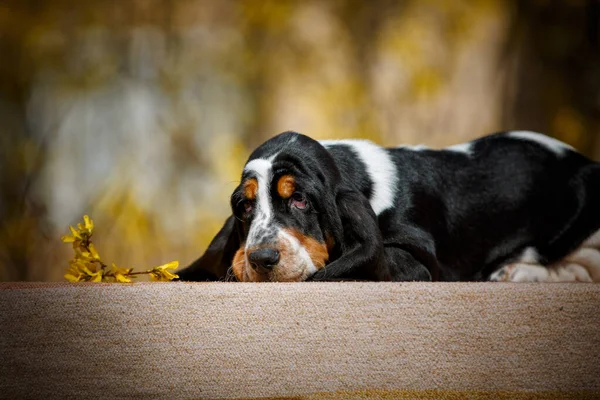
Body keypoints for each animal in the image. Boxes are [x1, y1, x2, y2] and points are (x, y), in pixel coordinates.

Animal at [177, 130, 600, 282]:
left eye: (299, 199)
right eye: (244, 206)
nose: (262, 259)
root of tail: (584, 163)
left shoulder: (418, 261)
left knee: (579, 265)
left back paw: (514, 272)